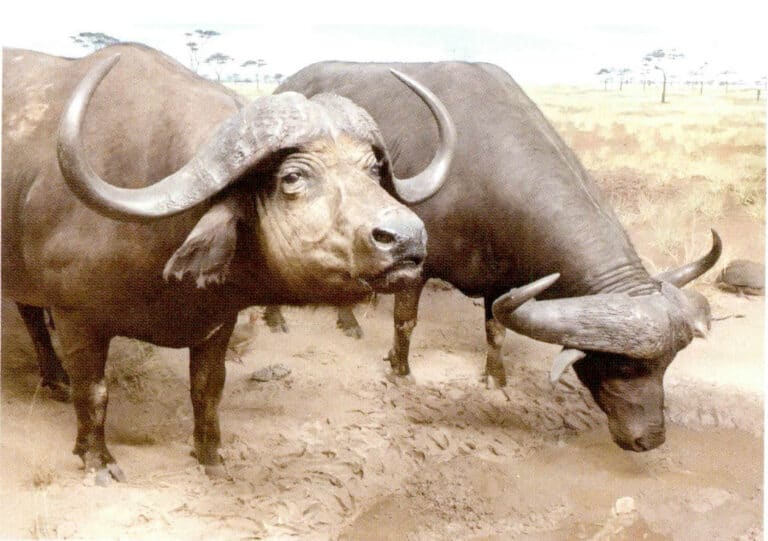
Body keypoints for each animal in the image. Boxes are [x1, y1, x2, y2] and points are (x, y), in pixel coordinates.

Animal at [2, 45, 455, 482]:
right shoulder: (76, 318)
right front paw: (96, 459)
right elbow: (94, 392)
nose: (407, 237)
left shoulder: (218, 321)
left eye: (373, 169)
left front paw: (210, 458)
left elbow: (208, 389)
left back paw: (53, 377)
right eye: (292, 177)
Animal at [276, 61, 720, 452]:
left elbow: (497, 331)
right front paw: (400, 370)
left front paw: (495, 378)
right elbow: (405, 321)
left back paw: (348, 320)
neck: (478, 175)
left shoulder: (505, 282)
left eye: (667, 364)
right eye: (622, 366)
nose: (651, 440)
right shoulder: (416, 267)